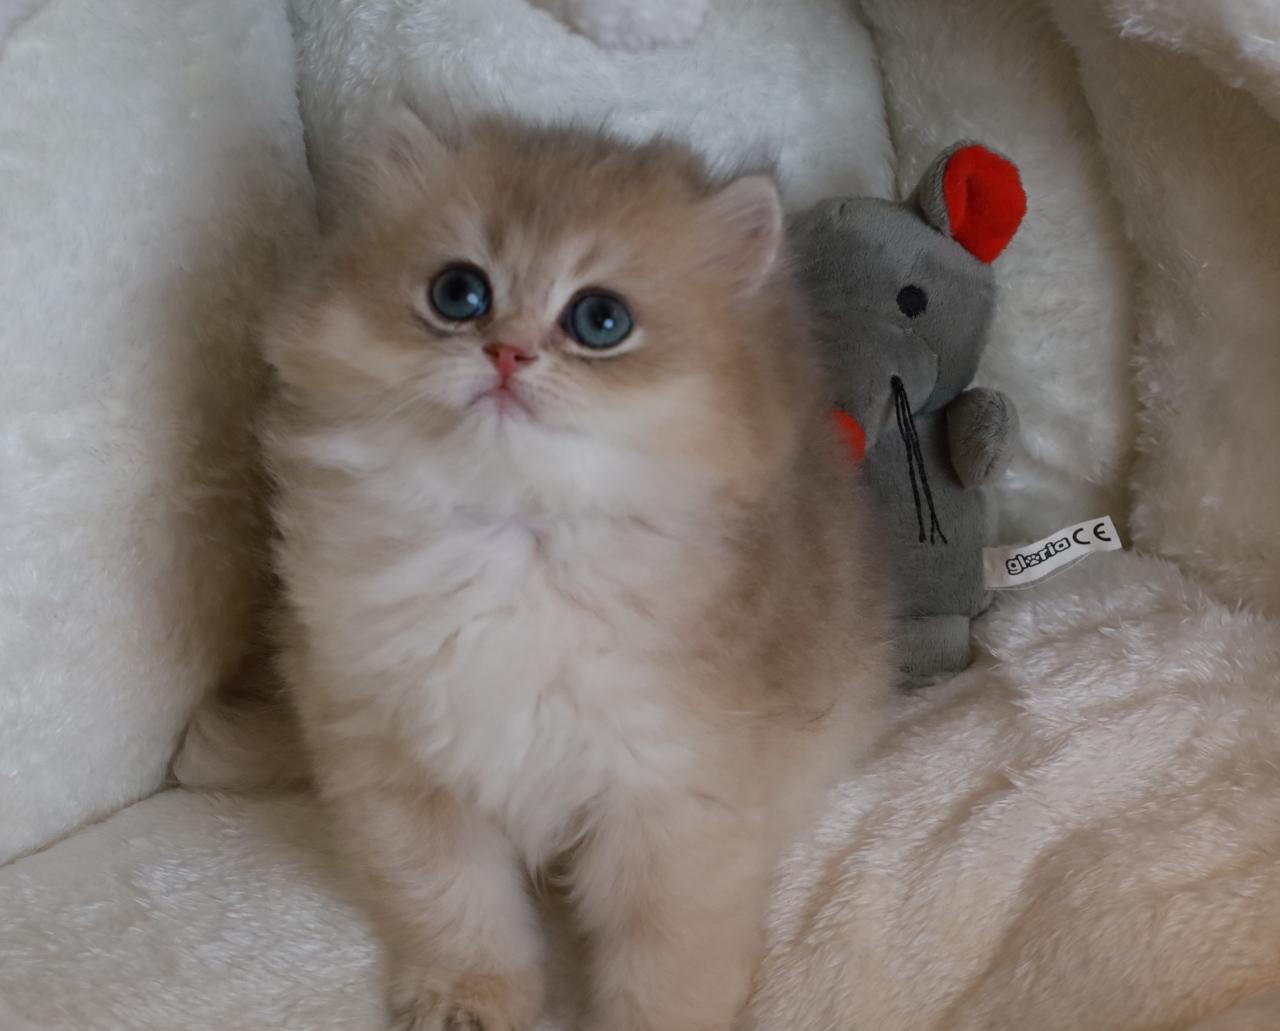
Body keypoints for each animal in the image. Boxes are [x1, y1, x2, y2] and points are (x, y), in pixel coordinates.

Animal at [259, 110, 891, 1031]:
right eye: (459, 293)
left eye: (599, 319)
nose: (506, 354)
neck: (515, 542)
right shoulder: (395, 761)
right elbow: (453, 904)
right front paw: (471, 998)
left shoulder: (674, 802)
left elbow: (665, 967)